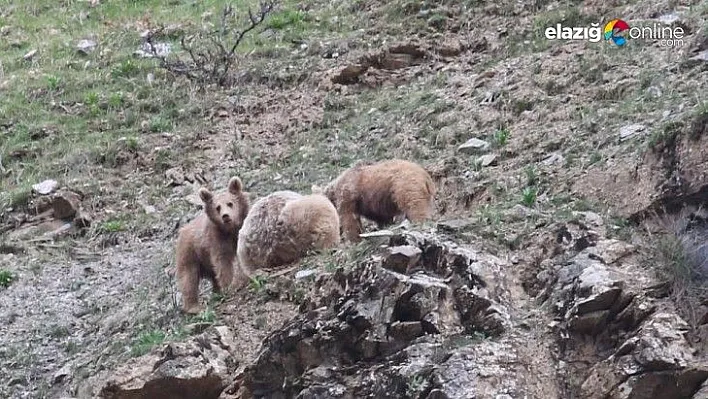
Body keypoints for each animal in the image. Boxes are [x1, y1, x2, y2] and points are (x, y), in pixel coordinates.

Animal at [174, 177, 249, 314]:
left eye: (230, 203)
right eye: (217, 207)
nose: (225, 216)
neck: (230, 230)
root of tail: (182, 230)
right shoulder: (216, 240)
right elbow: (222, 262)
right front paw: (229, 286)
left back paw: (216, 292)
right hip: (190, 254)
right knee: (188, 278)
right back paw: (194, 307)